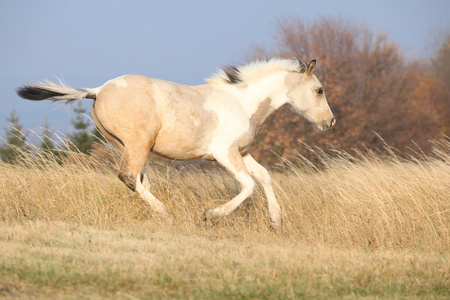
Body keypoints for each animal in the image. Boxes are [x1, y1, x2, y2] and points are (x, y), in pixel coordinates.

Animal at [16, 58, 334, 227]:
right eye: (319, 90)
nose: (330, 122)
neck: (243, 103)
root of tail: (98, 90)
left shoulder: (242, 152)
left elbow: (265, 177)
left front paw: (275, 221)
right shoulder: (224, 153)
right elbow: (248, 186)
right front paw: (210, 215)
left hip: (125, 145)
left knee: (138, 180)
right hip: (139, 143)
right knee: (129, 177)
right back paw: (165, 215)